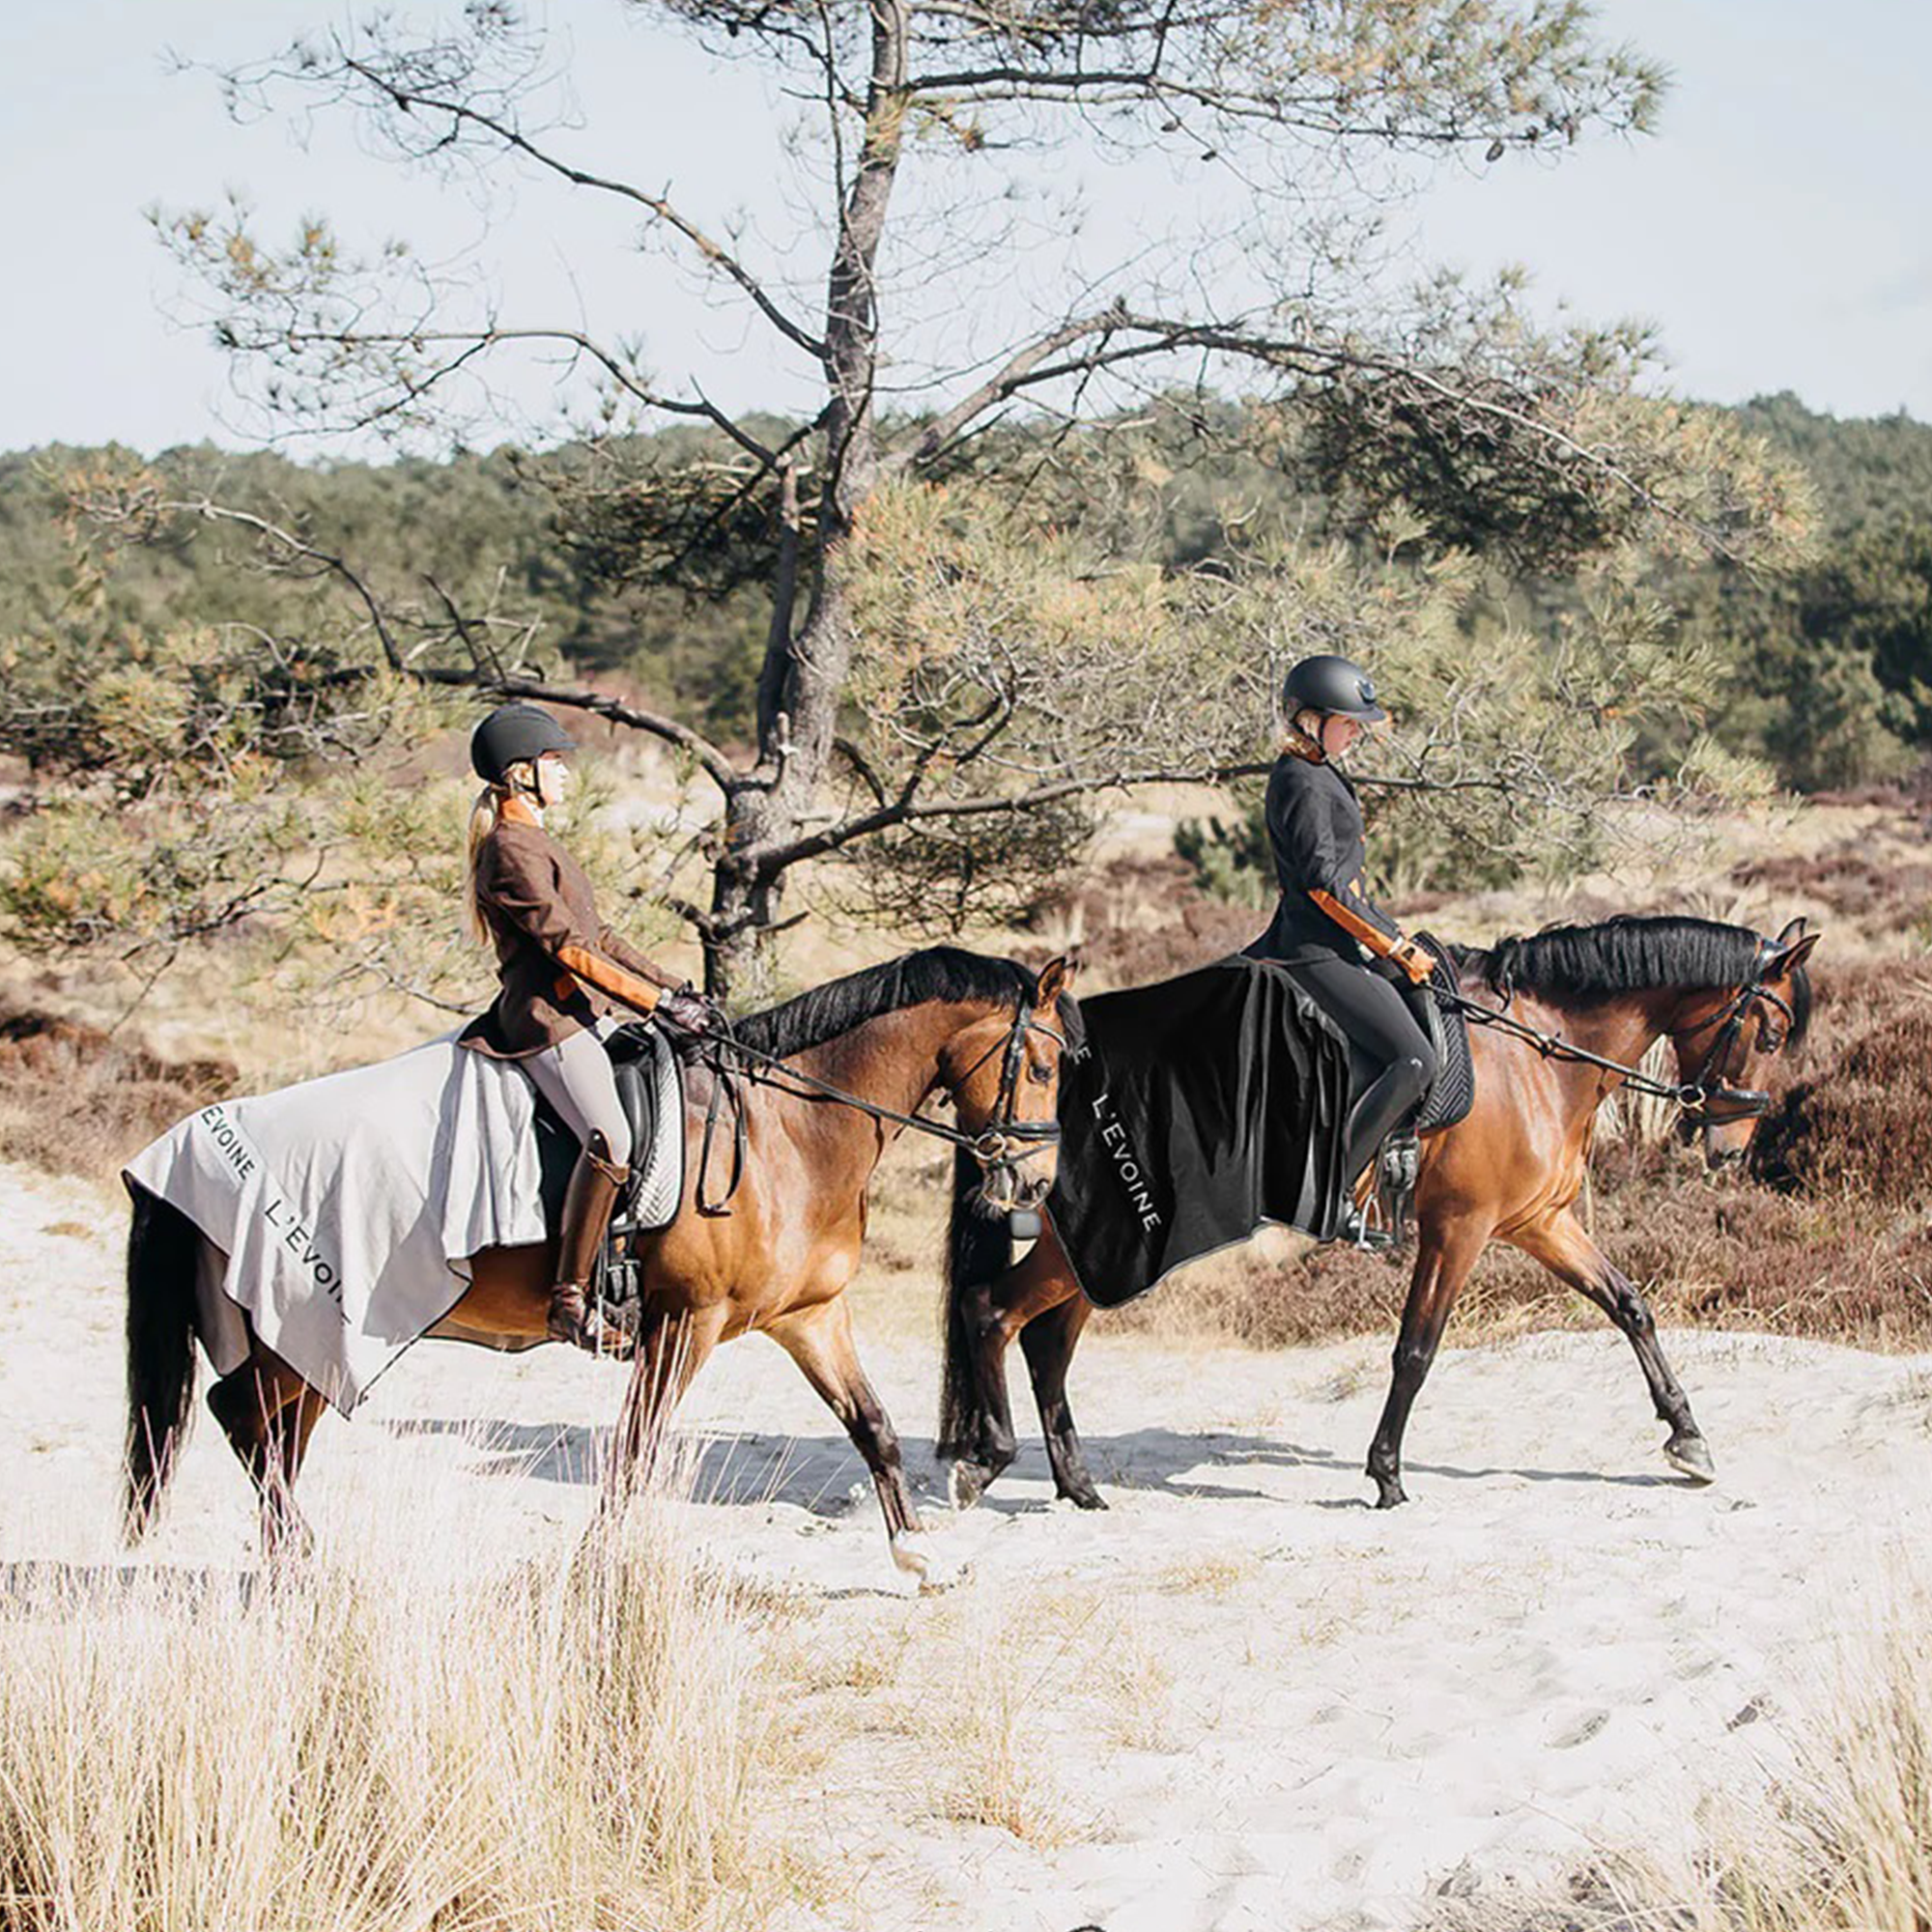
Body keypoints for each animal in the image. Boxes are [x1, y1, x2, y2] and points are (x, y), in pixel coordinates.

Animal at [127, 943, 1082, 1577]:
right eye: (1039, 1065)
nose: (1035, 1185)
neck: (790, 1130)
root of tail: (188, 1144)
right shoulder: (685, 1324)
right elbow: (633, 1450)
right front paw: (595, 1569)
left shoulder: (810, 1316)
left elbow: (873, 1427)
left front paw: (918, 1558)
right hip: (299, 1328)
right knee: (241, 1417)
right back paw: (303, 1563)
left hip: (313, 1343)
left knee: (271, 1433)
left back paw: (288, 1563)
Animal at [935, 912, 1808, 1515]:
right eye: (1770, 1033)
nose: (1731, 1146)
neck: (1537, 1052)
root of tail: (1047, 1063)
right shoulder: (1460, 1229)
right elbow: (1416, 1350)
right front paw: (1386, 1473)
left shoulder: (1540, 1223)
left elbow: (1630, 1305)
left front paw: (1688, 1439)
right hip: (1098, 1243)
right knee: (992, 1312)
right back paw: (984, 1464)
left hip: (1104, 1251)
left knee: (1044, 1342)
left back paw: (1078, 1487)